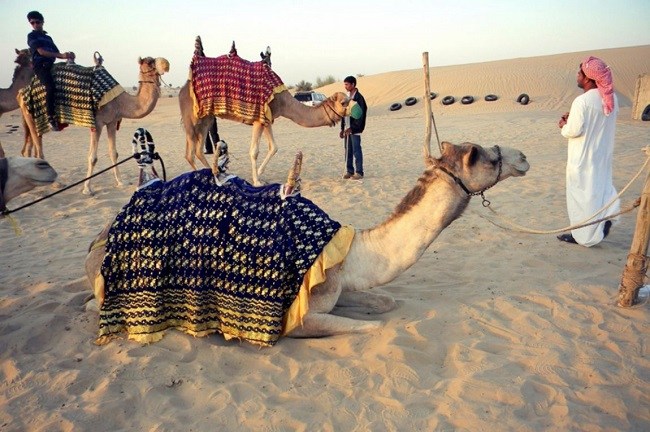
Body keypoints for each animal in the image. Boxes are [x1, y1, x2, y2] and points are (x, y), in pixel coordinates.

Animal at [19, 56, 169, 195]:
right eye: (149, 62)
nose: (166, 64)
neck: (120, 101)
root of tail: (22, 92)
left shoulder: (112, 122)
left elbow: (114, 153)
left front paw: (121, 182)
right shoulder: (97, 123)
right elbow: (93, 157)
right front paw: (87, 189)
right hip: (32, 116)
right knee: (39, 151)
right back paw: (56, 184)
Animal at [84, 141, 529, 342]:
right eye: (490, 156)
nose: (523, 156)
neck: (350, 253)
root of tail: (101, 235)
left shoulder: (335, 287)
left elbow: (385, 302)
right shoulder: (298, 318)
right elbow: (373, 327)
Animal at [179, 39, 349, 186]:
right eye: (344, 102)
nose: (349, 115)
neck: (283, 101)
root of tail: (183, 88)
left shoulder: (267, 119)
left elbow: (274, 147)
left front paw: (260, 174)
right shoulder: (258, 118)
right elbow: (254, 151)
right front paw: (257, 181)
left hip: (206, 118)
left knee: (197, 150)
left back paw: (214, 175)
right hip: (192, 118)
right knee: (190, 153)